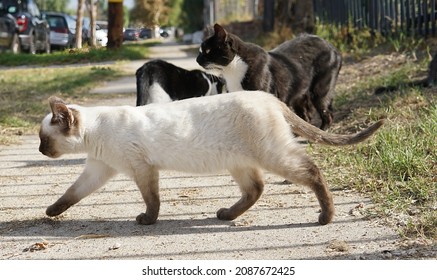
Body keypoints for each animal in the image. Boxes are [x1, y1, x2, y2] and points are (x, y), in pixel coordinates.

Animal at [40, 91, 382, 225]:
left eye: (45, 139)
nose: (41, 151)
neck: (95, 134)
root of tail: (268, 96)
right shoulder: (99, 170)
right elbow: (71, 194)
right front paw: (51, 211)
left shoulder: (142, 169)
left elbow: (152, 200)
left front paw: (147, 221)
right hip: (239, 162)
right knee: (255, 189)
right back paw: (226, 215)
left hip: (273, 156)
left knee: (312, 172)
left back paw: (326, 217)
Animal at [196, 24, 342, 129]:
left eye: (207, 50)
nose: (197, 59)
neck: (232, 70)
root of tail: (333, 48)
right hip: (299, 94)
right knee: (305, 117)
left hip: (320, 89)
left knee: (327, 113)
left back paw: (322, 132)